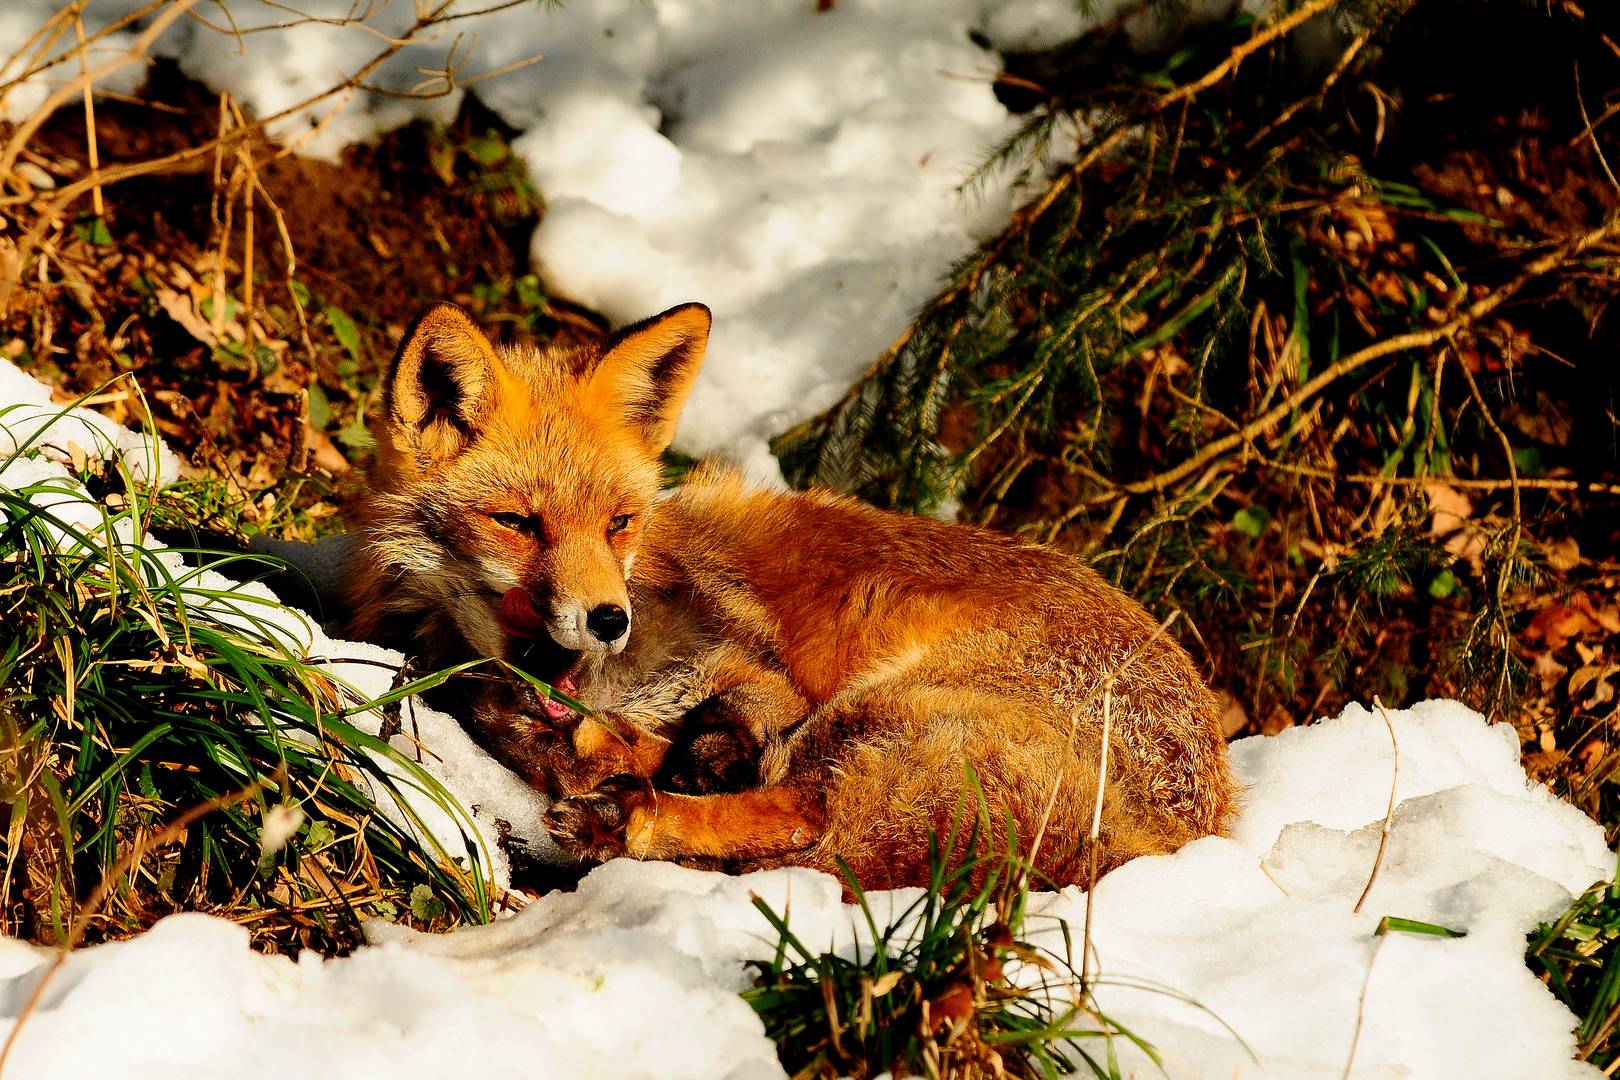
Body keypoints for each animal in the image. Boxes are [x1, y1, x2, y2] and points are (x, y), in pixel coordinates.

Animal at [348, 302, 1231, 887]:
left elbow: (738, 719)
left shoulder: (758, 667)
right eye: (517, 523)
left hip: (882, 708)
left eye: (619, 523)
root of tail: (1175, 834)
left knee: (801, 813)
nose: (608, 619)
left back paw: (628, 813)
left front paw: (685, 758)